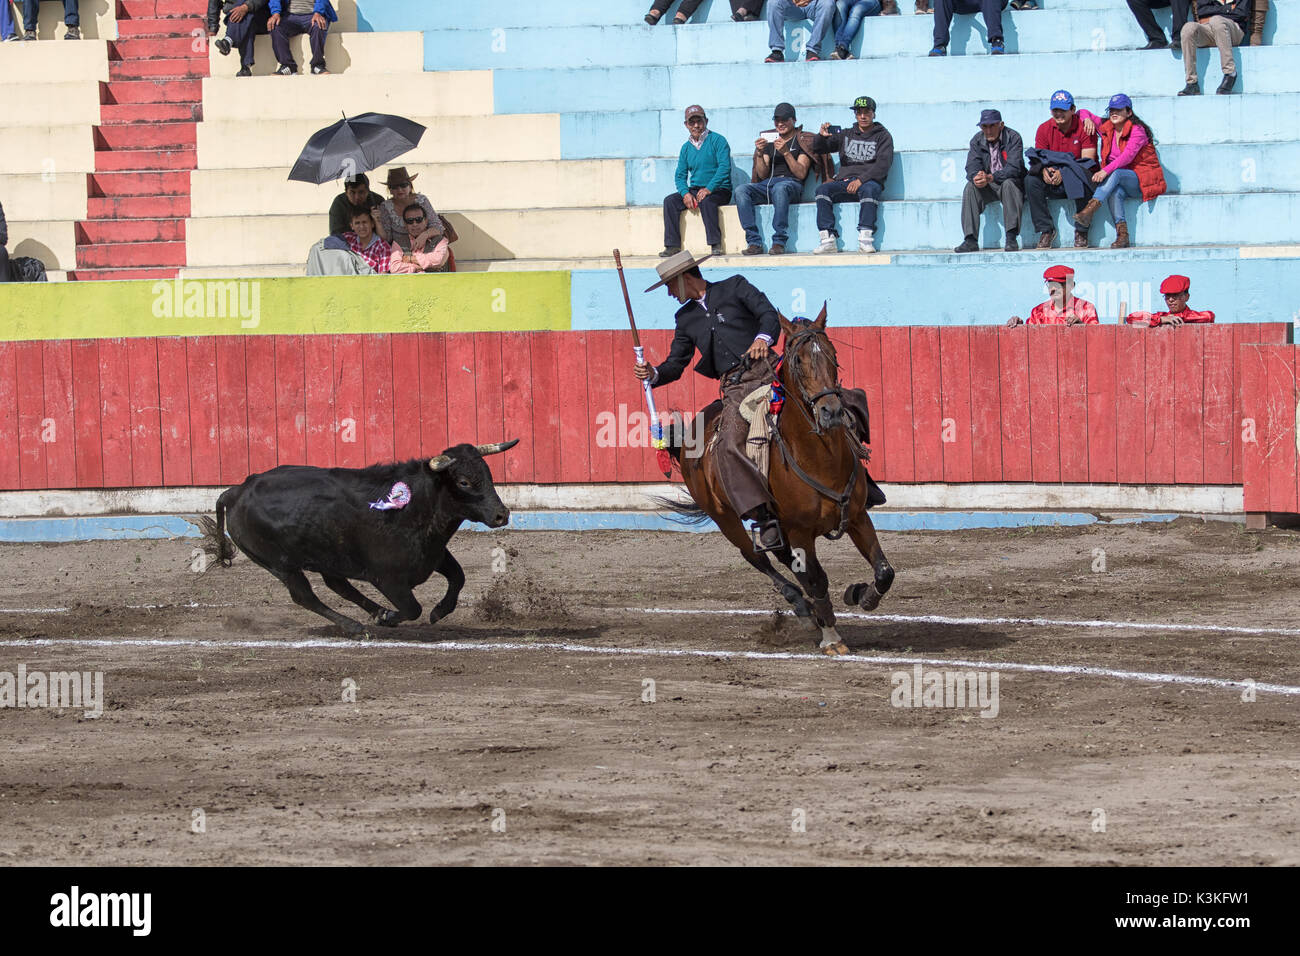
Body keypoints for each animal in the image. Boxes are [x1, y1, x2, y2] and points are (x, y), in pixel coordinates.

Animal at [202, 442, 517, 634]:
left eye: (488, 475)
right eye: (463, 482)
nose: (501, 515)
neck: (416, 504)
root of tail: (237, 490)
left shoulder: (433, 554)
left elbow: (458, 576)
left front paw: (438, 612)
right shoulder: (388, 579)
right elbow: (412, 608)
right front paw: (391, 616)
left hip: (325, 558)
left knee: (338, 585)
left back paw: (375, 614)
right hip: (280, 565)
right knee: (305, 596)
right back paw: (356, 627)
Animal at [660, 306, 894, 658]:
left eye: (833, 354)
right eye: (797, 360)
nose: (831, 412)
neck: (820, 458)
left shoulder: (856, 516)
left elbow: (883, 570)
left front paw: (861, 595)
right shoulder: (800, 533)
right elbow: (817, 579)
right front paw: (831, 635)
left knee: (783, 557)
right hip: (726, 519)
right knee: (758, 558)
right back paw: (803, 607)